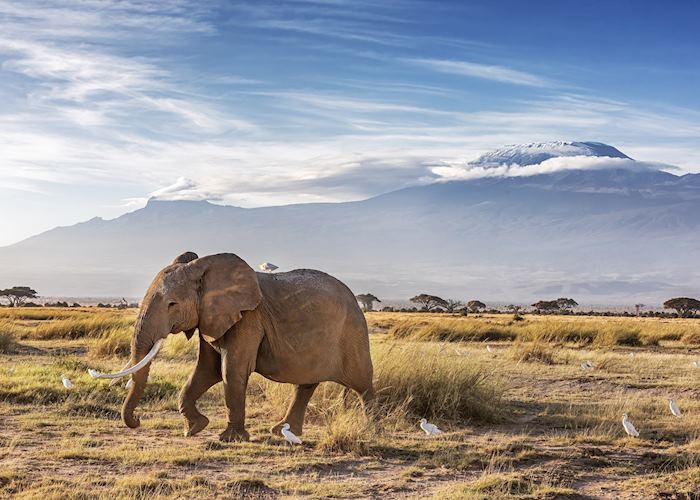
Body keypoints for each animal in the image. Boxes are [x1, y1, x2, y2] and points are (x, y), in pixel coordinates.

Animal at [102, 254, 374, 442]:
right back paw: (281, 432)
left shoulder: (249, 318)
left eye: (172, 304)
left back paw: (372, 429)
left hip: (353, 332)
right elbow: (206, 371)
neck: (205, 268)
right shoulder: (210, 319)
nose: (138, 420)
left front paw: (230, 439)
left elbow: (231, 370)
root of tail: (355, 299)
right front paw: (194, 429)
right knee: (306, 384)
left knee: (362, 384)